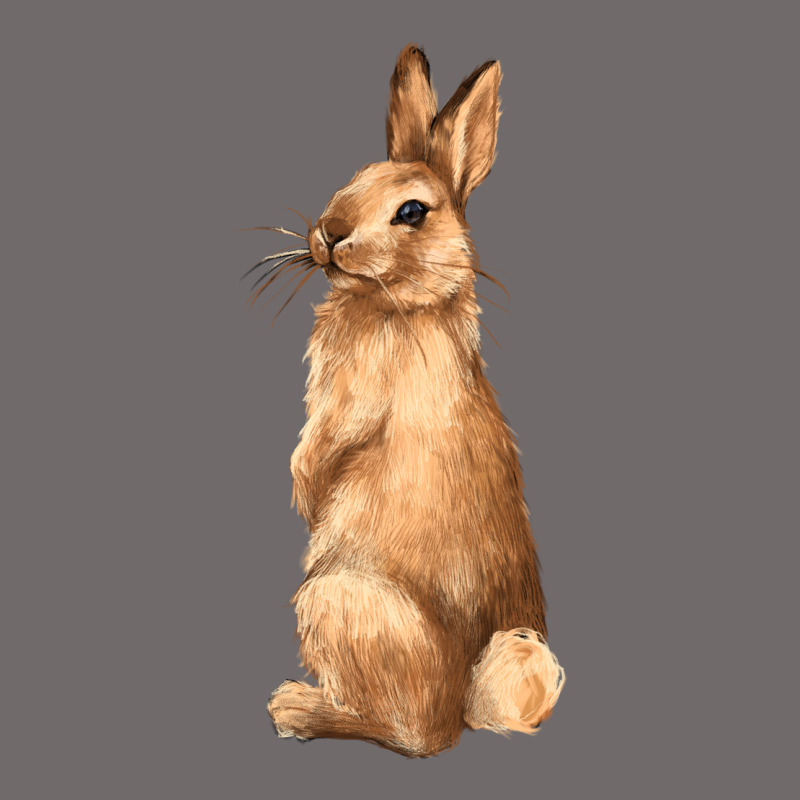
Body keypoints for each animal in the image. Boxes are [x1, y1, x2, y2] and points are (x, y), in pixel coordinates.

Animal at [261, 44, 564, 758]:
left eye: (411, 212)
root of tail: (468, 700)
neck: (400, 303)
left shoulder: (351, 399)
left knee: (416, 736)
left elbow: (320, 452)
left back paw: (297, 709)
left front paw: (306, 495)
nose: (329, 232)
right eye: (353, 177)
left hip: (335, 600)